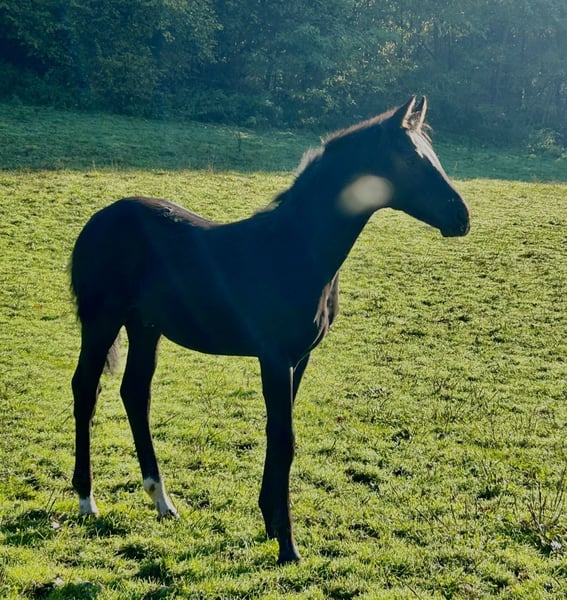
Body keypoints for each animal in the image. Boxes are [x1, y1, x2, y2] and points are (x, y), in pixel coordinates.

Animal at [70, 97, 470, 564]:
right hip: (102, 321)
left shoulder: (300, 358)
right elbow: (284, 439)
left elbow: (277, 437)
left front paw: (269, 521)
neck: (296, 250)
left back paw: (162, 500)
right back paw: (87, 499)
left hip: (146, 327)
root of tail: (98, 220)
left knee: (135, 393)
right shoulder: (275, 358)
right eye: (409, 158)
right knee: (86, 389)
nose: (461, 216)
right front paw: (287, 545)